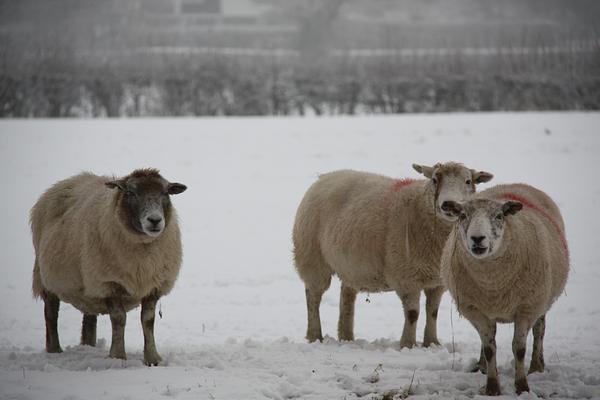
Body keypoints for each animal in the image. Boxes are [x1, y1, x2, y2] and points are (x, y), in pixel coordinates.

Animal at [29, 168, 185, 366]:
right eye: (131, 192)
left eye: (165, 192)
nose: (155, 220)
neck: (143, 249)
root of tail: (70, 180)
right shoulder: (108, 283)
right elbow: (119, 319)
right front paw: (118, 356)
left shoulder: (154, 285)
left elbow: (148, 321)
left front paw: (152, 358)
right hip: (45, 278)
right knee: (51, 314)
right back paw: (54, 350)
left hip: (88, 287)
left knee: (88, 319)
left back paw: (88, 346)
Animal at [290, 161, 492, 348]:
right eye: (435, 179)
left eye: (468, 181)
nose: (449, 204)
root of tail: (325, 176)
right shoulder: (406, 277)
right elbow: (413, 313)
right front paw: (407, 344)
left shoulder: (437, 281)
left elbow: (432, 311)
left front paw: (431, 343)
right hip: (312, 258)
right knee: (313, 296)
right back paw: (315, 335)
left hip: (351, 265)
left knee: (346, 295)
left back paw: (346, 337)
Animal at [438, 183, 568, 396]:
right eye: (463, 215)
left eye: (499, 216)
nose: (477, 238)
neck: (493, 284)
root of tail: (516, 184)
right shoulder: (477, 311)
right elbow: (490, 348)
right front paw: (492, 387)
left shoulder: (526, 308)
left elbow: (519, 349)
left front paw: (522, 386)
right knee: (486, 342)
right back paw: (482, 366)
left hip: (542, 300)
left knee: (539, 331)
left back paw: (536, 366)